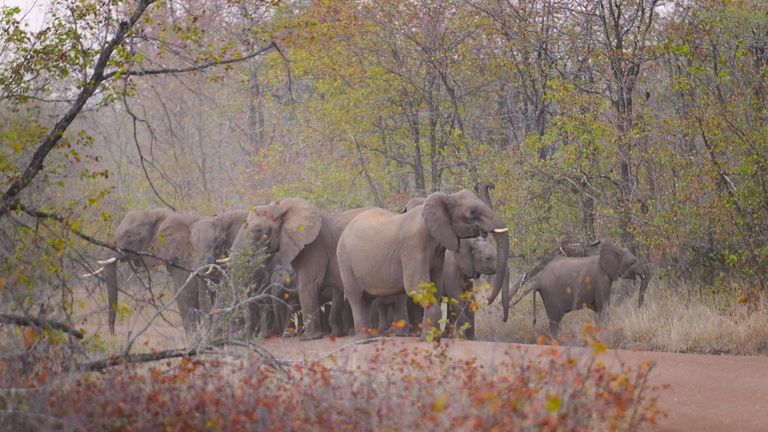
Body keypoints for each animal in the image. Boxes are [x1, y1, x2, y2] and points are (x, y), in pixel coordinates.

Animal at [228, 198, 366, 340]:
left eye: (258, 230)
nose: (278, 334)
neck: (280, 208)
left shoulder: (314, 248)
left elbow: (308, 286)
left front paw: (308, 338)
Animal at [338, 191, 510, 340]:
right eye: (473, 211)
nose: (488, 301)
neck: (447, 197)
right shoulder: (413, 246)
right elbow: (416, 286)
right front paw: (430, 339)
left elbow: (435, 289)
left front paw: (428, 338)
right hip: (344, 259)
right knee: (356, 296)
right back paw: (362, 339)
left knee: (368, 298)